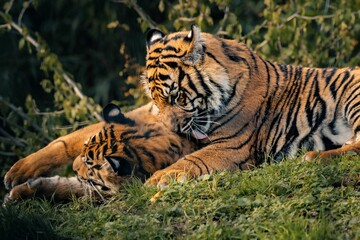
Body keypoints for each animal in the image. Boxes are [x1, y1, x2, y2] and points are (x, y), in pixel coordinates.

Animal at [143, 25, 360, 187]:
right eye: (156, 101)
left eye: (176, 96)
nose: (172, 129)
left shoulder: (231, 146)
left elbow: (191, 160)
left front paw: (159, 177)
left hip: (353, 97)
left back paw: (312, 157)